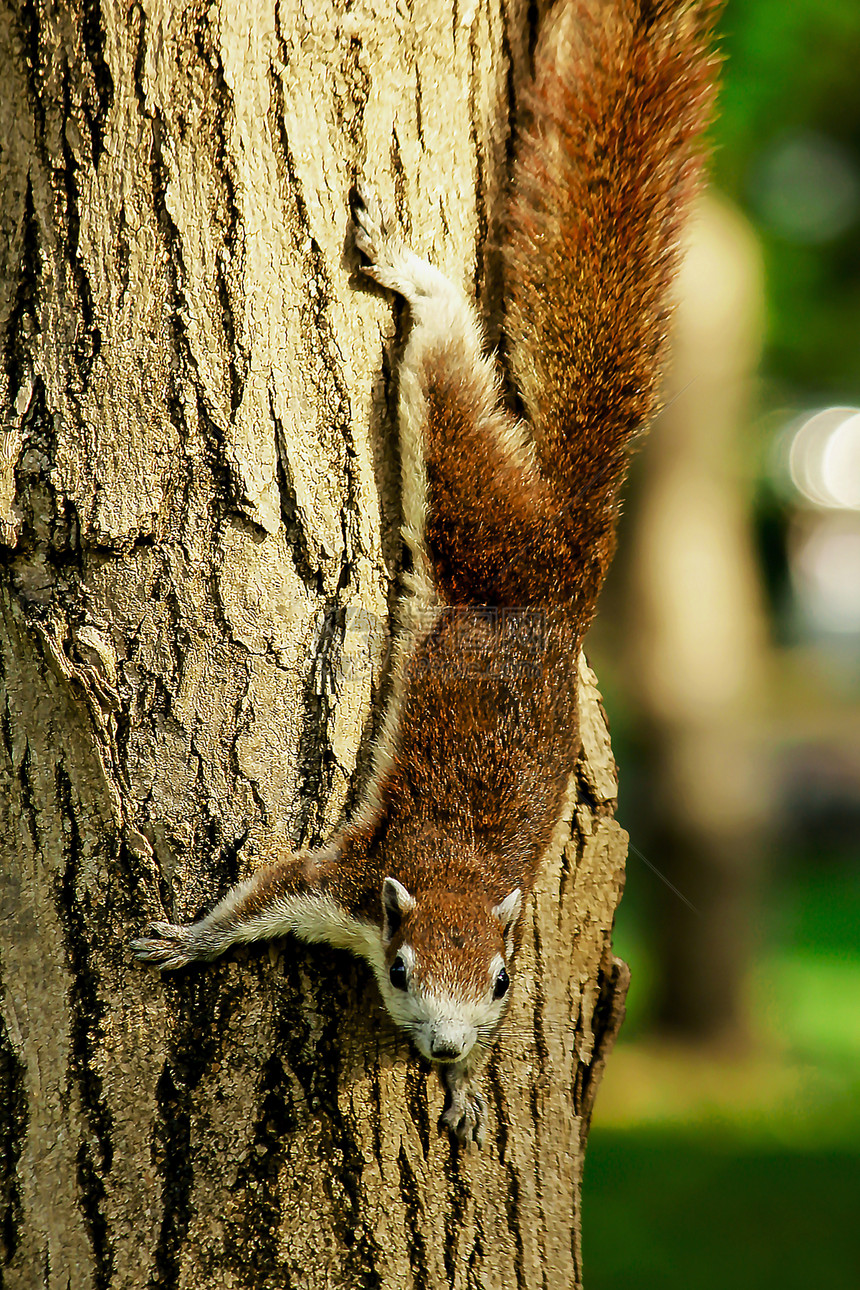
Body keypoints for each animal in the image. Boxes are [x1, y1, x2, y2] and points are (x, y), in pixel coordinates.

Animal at [131, 0, 716, 1150]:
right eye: (401, 970)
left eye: (499, 985)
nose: (442, 1047)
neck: (453, 874)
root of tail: (564, 563)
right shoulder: (344, 882)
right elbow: (259, 894)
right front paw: (188, 940)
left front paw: (468, 1090)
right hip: (470, 507)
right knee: (446, 371)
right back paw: (412, 270)